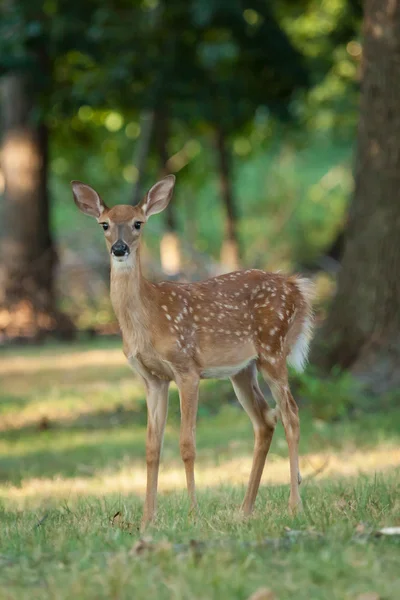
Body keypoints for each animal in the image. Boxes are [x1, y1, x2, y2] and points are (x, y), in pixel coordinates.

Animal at [72, 176, 316, 528]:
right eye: (104, 224)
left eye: (138, 223)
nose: (120, 248)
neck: (147, 320)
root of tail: (297, 288)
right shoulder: (152, 379)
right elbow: (152, 447)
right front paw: (147, 519)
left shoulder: (186, 367)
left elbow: (187, 444)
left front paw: (193, 514)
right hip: (243, 369)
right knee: (265, 420)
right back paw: (245, 509)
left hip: (273, 349)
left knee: (291, 415)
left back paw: (294, 505)